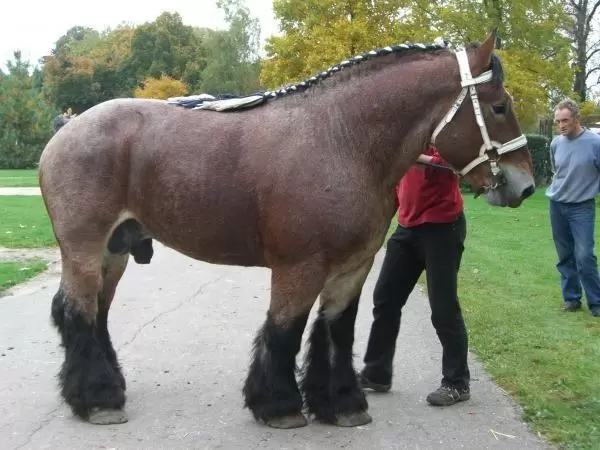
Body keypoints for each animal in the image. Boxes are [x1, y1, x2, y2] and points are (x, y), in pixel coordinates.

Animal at [38, 29, 536, 430]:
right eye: (499, 107)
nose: (525, 185)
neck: (341, 139)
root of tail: (66, 130)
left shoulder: (353, 267)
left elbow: (336, 331)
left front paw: (341, 403)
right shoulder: (299, 267)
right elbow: (284, 330)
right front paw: (279, 405)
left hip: (115, 251)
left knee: (96, 314)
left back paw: (102, 389)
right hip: (85, 249)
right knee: (78, 312)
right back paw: (99, 400)